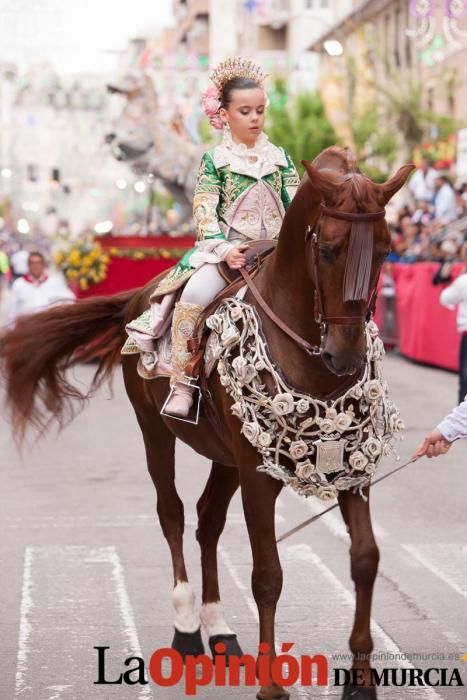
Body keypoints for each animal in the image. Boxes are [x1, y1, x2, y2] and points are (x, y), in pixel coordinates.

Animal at [1, 148, 414, 700]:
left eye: (387, 250)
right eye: (327, 249)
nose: (343, 357)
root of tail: (142, 294)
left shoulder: (350, 463)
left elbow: (366, 559)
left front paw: (362, 682)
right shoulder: (258, 476)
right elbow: (267, 574)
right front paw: (271, 684)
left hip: (226, 455)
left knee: (208, 520)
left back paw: (219, 630)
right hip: (157, 434)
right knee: (173, 514)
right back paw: (187, 627)